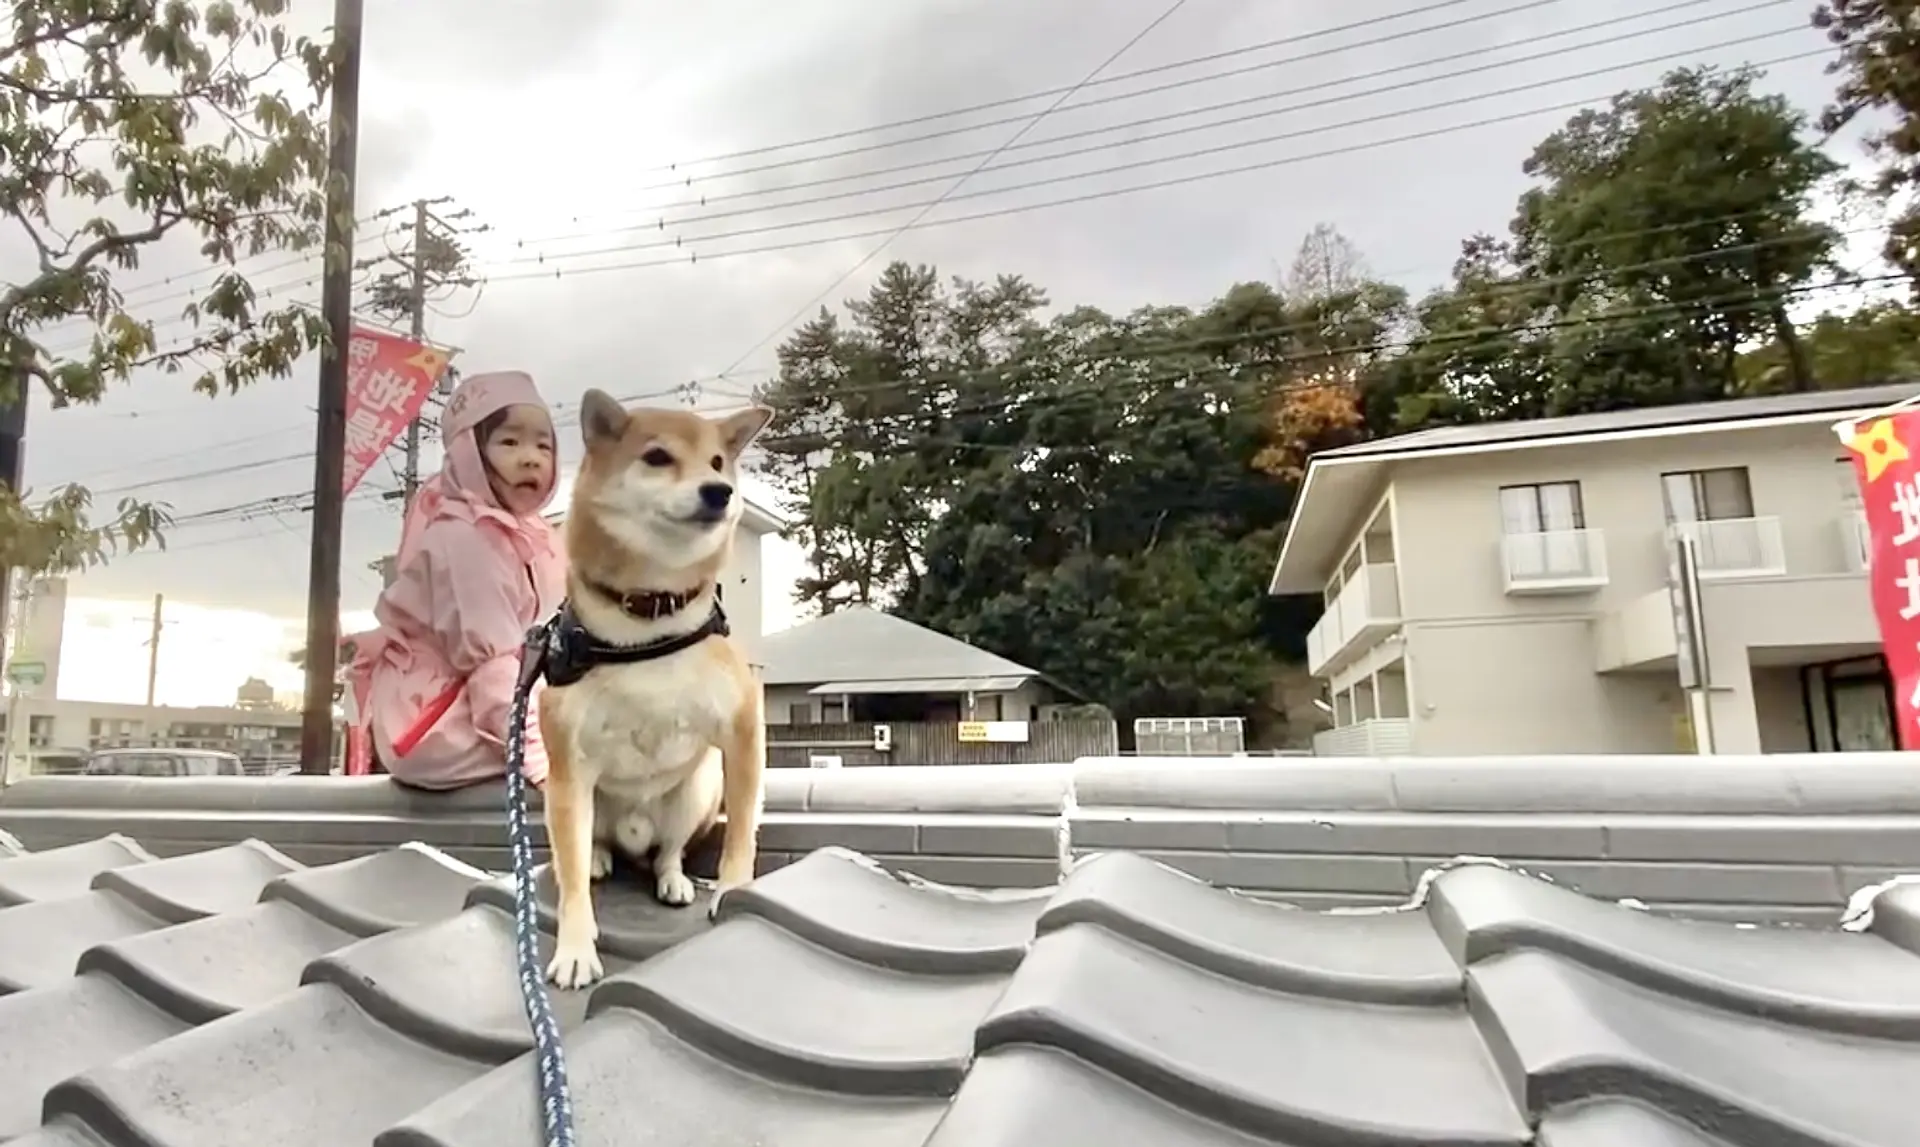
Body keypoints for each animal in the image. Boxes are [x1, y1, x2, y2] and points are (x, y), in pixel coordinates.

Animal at [540, 389, 773, 990]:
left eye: (717, 462)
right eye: (658, 458)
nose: (719, 491)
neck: (650, 619)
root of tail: (634, 837)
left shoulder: (742, 731)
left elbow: (742, 835)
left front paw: (733, 889)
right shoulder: (568, 765)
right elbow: (571, 882)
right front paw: (575, 948)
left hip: (697, 790)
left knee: (668, 853)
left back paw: (673, 879)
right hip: (571, 798)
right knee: (589, 848)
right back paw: (600, 858)